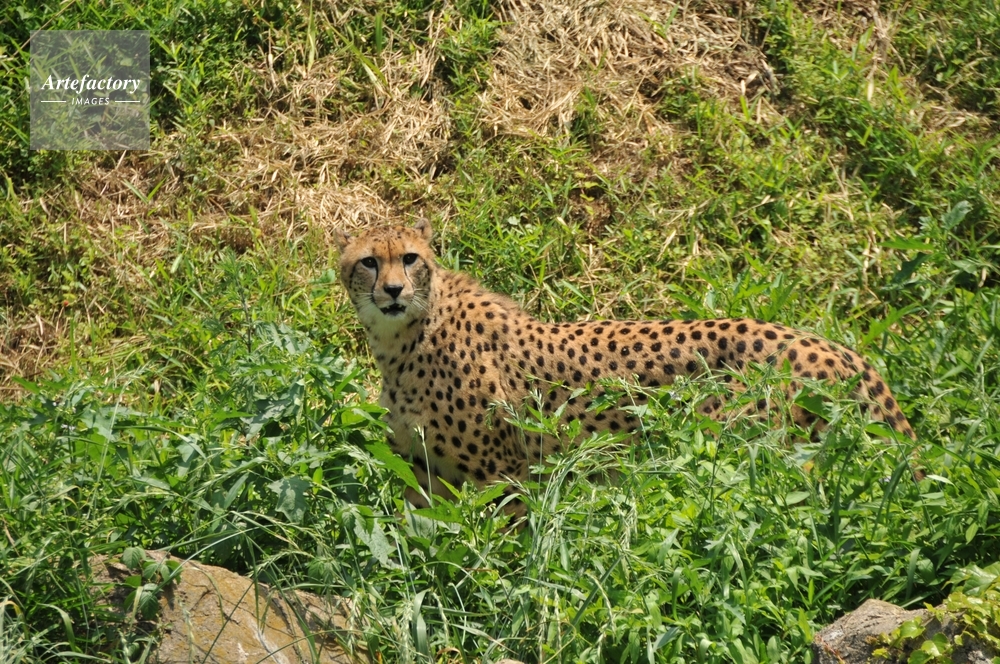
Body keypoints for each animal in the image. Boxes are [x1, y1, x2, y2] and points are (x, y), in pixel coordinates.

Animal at [335, 220, 916, 507]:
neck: (404, 337)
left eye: (410, 258)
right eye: (369, 262)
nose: (393, 291)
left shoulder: (505, 475)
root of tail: (833, 347)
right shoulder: (422, 471)